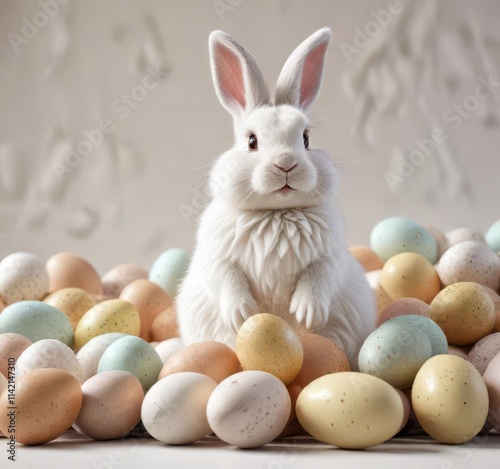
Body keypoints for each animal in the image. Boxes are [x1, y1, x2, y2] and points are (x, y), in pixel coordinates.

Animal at [176, 26, 376, 370]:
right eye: (252, 141)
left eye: (306, 139)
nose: (286, 163)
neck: (276, 213)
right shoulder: (217, 255)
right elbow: (226, 278)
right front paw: (244, 313)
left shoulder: (330, 255)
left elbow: (319, 277)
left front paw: (306, 313)